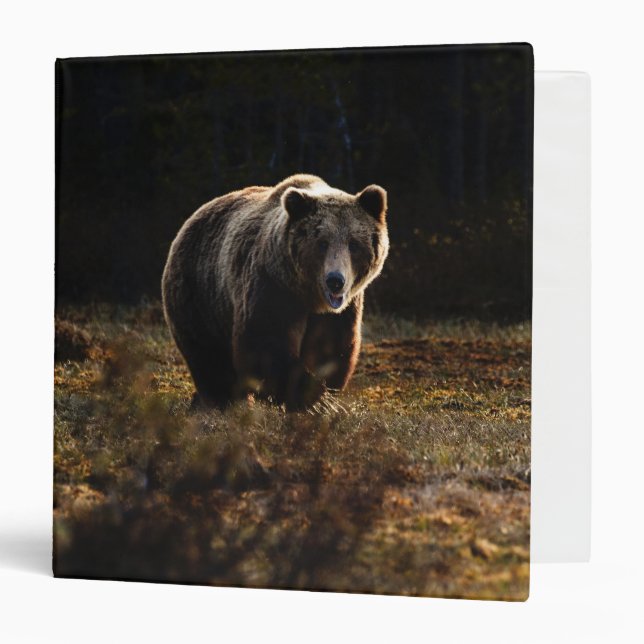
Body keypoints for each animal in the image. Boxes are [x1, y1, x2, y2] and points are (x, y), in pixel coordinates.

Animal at [161, 174, 389, 411]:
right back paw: (223, 401)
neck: (309, 296)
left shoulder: (341, 310)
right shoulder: (271, 286)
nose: (335, 281)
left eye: (353, 244)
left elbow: (330, 347)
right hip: (200, 294)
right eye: (322, 243)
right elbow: (265, 343)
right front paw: (315, 398)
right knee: (209, 356)